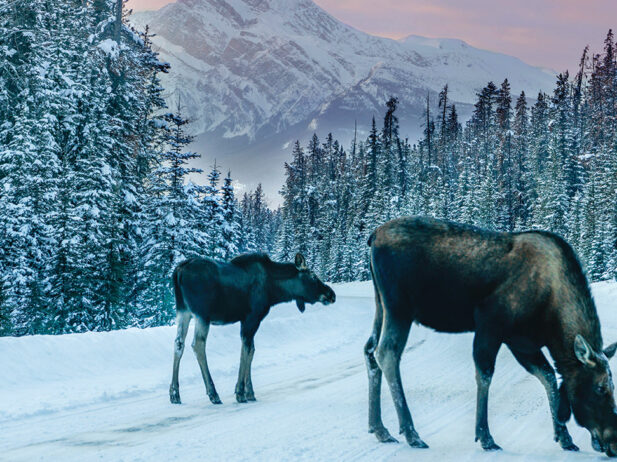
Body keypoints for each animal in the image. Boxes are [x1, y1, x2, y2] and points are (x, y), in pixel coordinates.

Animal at [171, 253, 334, 404]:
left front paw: (249, 392)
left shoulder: (248, 321)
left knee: (179, 343)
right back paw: (213, 394)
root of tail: (178, 271)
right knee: (198, 344)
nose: (331, 294)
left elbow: (251, 351)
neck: (275, 291)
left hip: (183, 311)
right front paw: (240, 392)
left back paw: (174, 394)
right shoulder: (252, 318)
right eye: (313, 276)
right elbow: (246, 351)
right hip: (202, 315)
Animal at [364, 217, 616, 454]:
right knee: (387, 352)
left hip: (380, 305)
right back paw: (411, 432)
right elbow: (485, 374)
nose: (612, 443)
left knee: (369, 350)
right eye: (600, 387)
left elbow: (549, 376)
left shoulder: (522, 342)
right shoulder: (491, 324)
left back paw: (380, 429)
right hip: (399, 307)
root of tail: (374, 235)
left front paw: (565, 437)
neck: (551, 317)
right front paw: (485, 436)